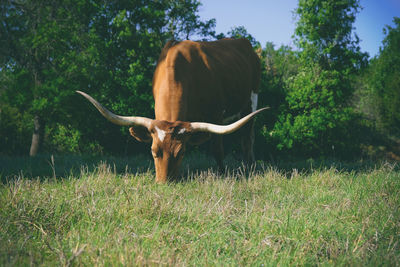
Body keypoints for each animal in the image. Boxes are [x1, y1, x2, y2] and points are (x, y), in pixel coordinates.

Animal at [76, 38, 268, 183]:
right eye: (153, 151)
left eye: (181, 152)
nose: (165, 183)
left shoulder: (216, 115)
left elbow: (217, 149)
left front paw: (222, 174)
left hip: (251, 101)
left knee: (247, 138)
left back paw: (250, 167)